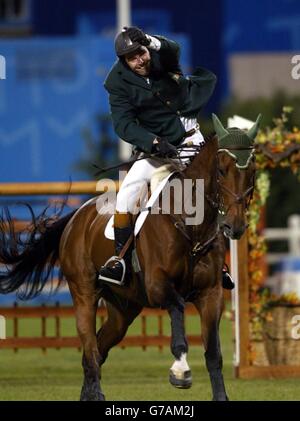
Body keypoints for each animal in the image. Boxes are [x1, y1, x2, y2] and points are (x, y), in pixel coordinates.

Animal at [0, 112, 260, 400]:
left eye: (252, 171)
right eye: (221, 170)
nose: (235, 227)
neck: (191, 225)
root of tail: (77, 216)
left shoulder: (210, 293)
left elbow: (213, 353)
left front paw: (220, 395)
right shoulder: (158, 285)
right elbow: (178, 311)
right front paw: (180, 372)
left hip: (123, 309)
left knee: (98, 348)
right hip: (84, 293)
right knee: (90, 350)